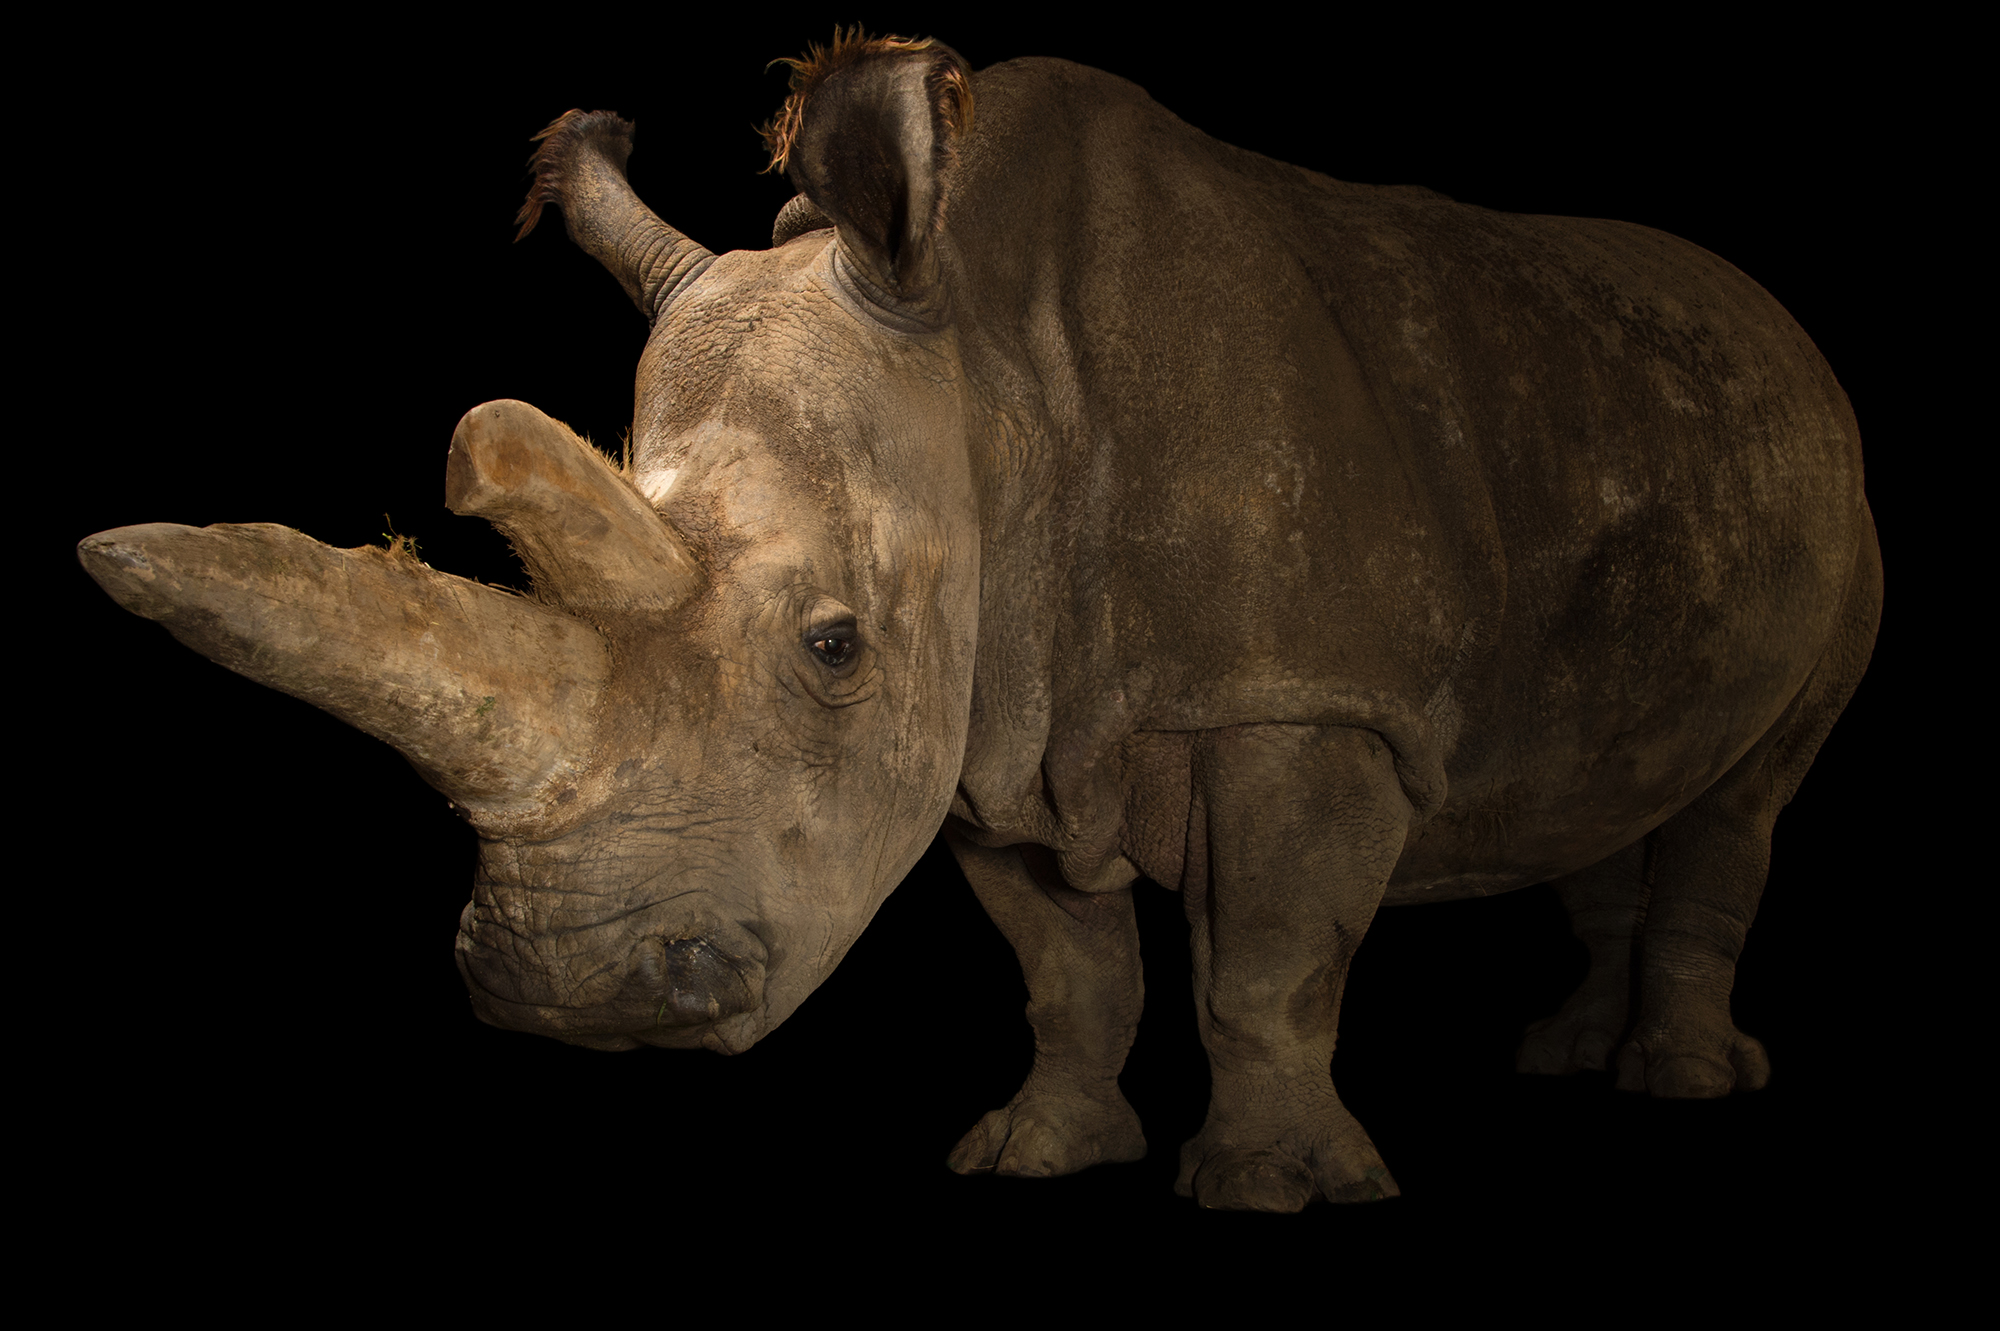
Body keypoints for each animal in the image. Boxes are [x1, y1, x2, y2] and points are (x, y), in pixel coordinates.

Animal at [77, 33, 1879, 1211]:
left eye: (831, 644)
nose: (562, 992)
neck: (985, 372)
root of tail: (1780, 325)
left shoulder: (1303, 694)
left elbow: (1270, 962)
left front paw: (1273, 1190)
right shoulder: (997, 722)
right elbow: (1067, 965)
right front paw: (1034, 1154)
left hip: (1838, 498)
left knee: (1751, 792)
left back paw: (1674, 1082)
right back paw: (1569, 1053)